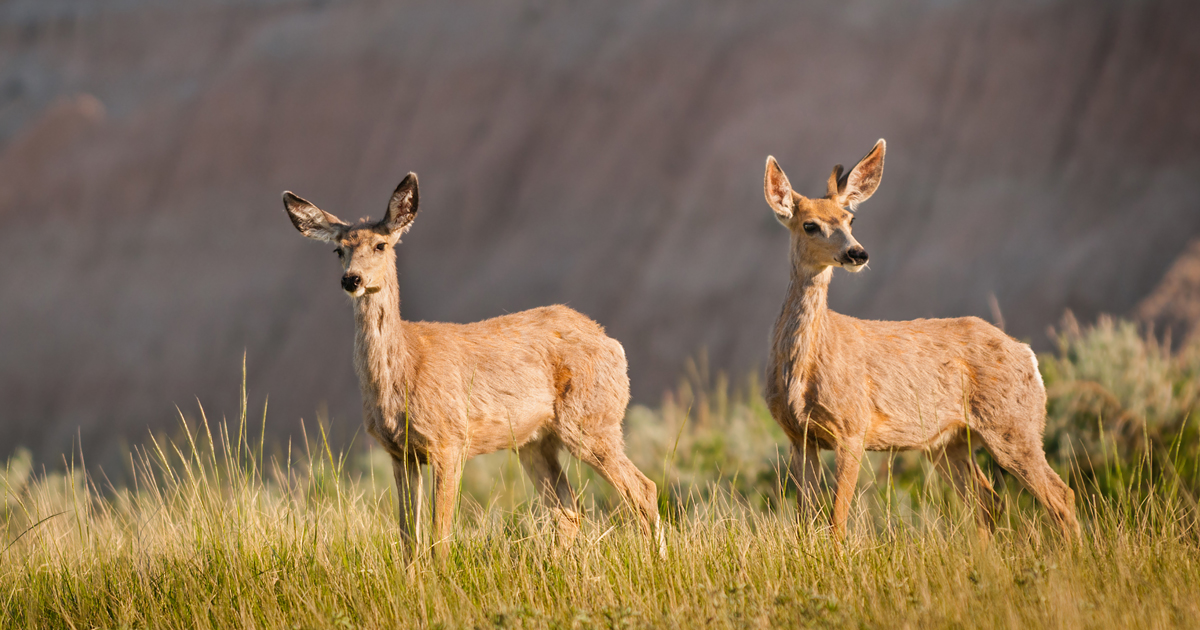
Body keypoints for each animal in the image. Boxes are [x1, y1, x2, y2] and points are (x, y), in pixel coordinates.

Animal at [282, 173, 665, 559]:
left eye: (380, 245)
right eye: (338, 249)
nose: (352, 279)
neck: (404, 368)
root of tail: (611, 342)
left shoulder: (449, 439)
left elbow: (440, 535)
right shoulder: (399, 452)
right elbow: (408, 539)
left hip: (591, 419)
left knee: (643, 489)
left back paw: (656, 559)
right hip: (535, 440)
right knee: (568, 510)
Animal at [761, 140, 1080, 541]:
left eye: (850, 219)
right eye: (810, 225)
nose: (857, 253)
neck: (803, 372)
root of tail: (1028, 355)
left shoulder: (853, 426)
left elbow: (836, 519)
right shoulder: (798, 437)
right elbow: (807, 519)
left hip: (1013, 423)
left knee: (1060, 496)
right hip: (949, 441)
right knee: (988, 500)